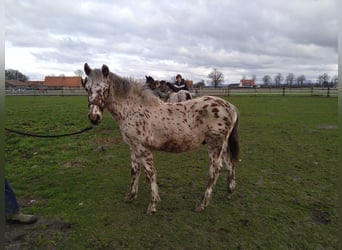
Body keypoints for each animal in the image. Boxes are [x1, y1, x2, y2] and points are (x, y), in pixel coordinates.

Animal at [82, 63, 240, 215]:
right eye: (87, 88)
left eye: (104, 89)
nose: (94, 117)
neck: (132, 109)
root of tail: (230, 106)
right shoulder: (133, 147)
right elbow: (135, 171)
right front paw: (130, 196)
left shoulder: (143, 148)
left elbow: (150, 174)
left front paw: (152, 205)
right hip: (223, 145)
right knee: (229, 164)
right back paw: (229, 193)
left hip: (215, 144)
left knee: (215, 169)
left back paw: (201, 204)